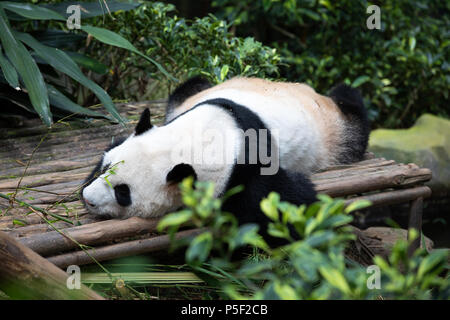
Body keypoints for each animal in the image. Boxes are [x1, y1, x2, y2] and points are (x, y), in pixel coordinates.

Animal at [81, 77, 370, 242]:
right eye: (105, 168)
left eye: (123, 193)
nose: (88, 200)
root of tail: (309, 91)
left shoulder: (244, 168)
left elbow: (282, 202)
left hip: (333, 131)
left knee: (352, 115)